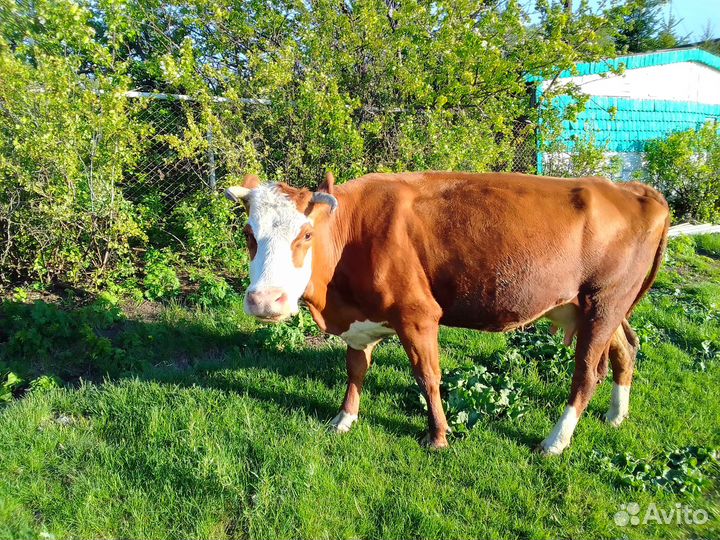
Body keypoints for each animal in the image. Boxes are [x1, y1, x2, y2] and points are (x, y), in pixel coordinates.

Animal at [225, 171, 669, 455]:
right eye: (249, 234)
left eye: (306, 234)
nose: (265, 301)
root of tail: (633, 189)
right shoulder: (360, 322)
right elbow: (355, 369)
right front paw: (344, 418)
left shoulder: (418, 315)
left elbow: (428, 377)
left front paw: (437, 436)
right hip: (595, 307)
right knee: (626, 349)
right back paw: (616, 415)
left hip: (604, 302)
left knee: (586, 374)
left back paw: (554, 442)